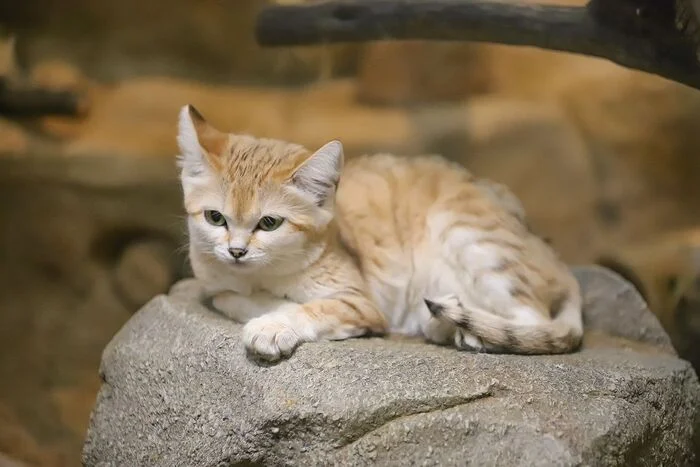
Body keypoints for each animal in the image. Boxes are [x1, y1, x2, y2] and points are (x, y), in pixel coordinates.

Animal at [178, 105, 584, 362]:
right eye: (215, 218)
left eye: (269, 224)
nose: (236, 252)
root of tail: (556, 259)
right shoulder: (216, 284)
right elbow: (232, 297)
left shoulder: (360, 302)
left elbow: (310, 308)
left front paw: (273, 326)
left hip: (466, 233)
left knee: (534, 319)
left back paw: (459, 329)